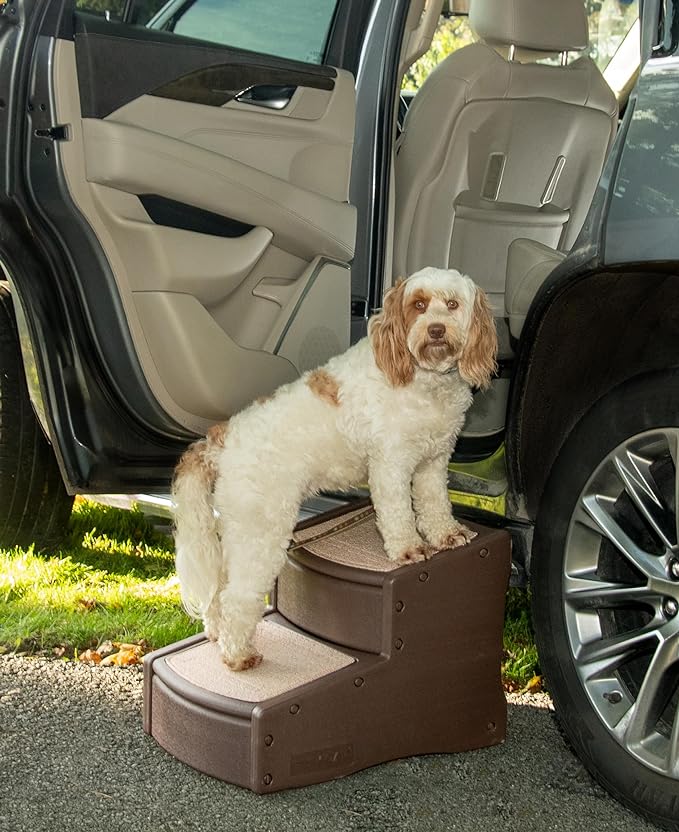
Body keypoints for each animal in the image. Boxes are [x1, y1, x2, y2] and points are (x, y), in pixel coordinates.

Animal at [173, 266, 496, 668]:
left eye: (452, 305)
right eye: (419, 305)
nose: (436, 329)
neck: (423, 378)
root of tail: (220, 439)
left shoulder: (433, 462)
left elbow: (435, 504)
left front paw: (447, 535)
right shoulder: (391, 464)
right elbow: (398, 515)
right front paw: (409, 550)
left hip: (239, 531)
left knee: (221, 589)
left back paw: (218, 635)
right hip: (261, 531)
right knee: (237, 596)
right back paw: (239, 655)